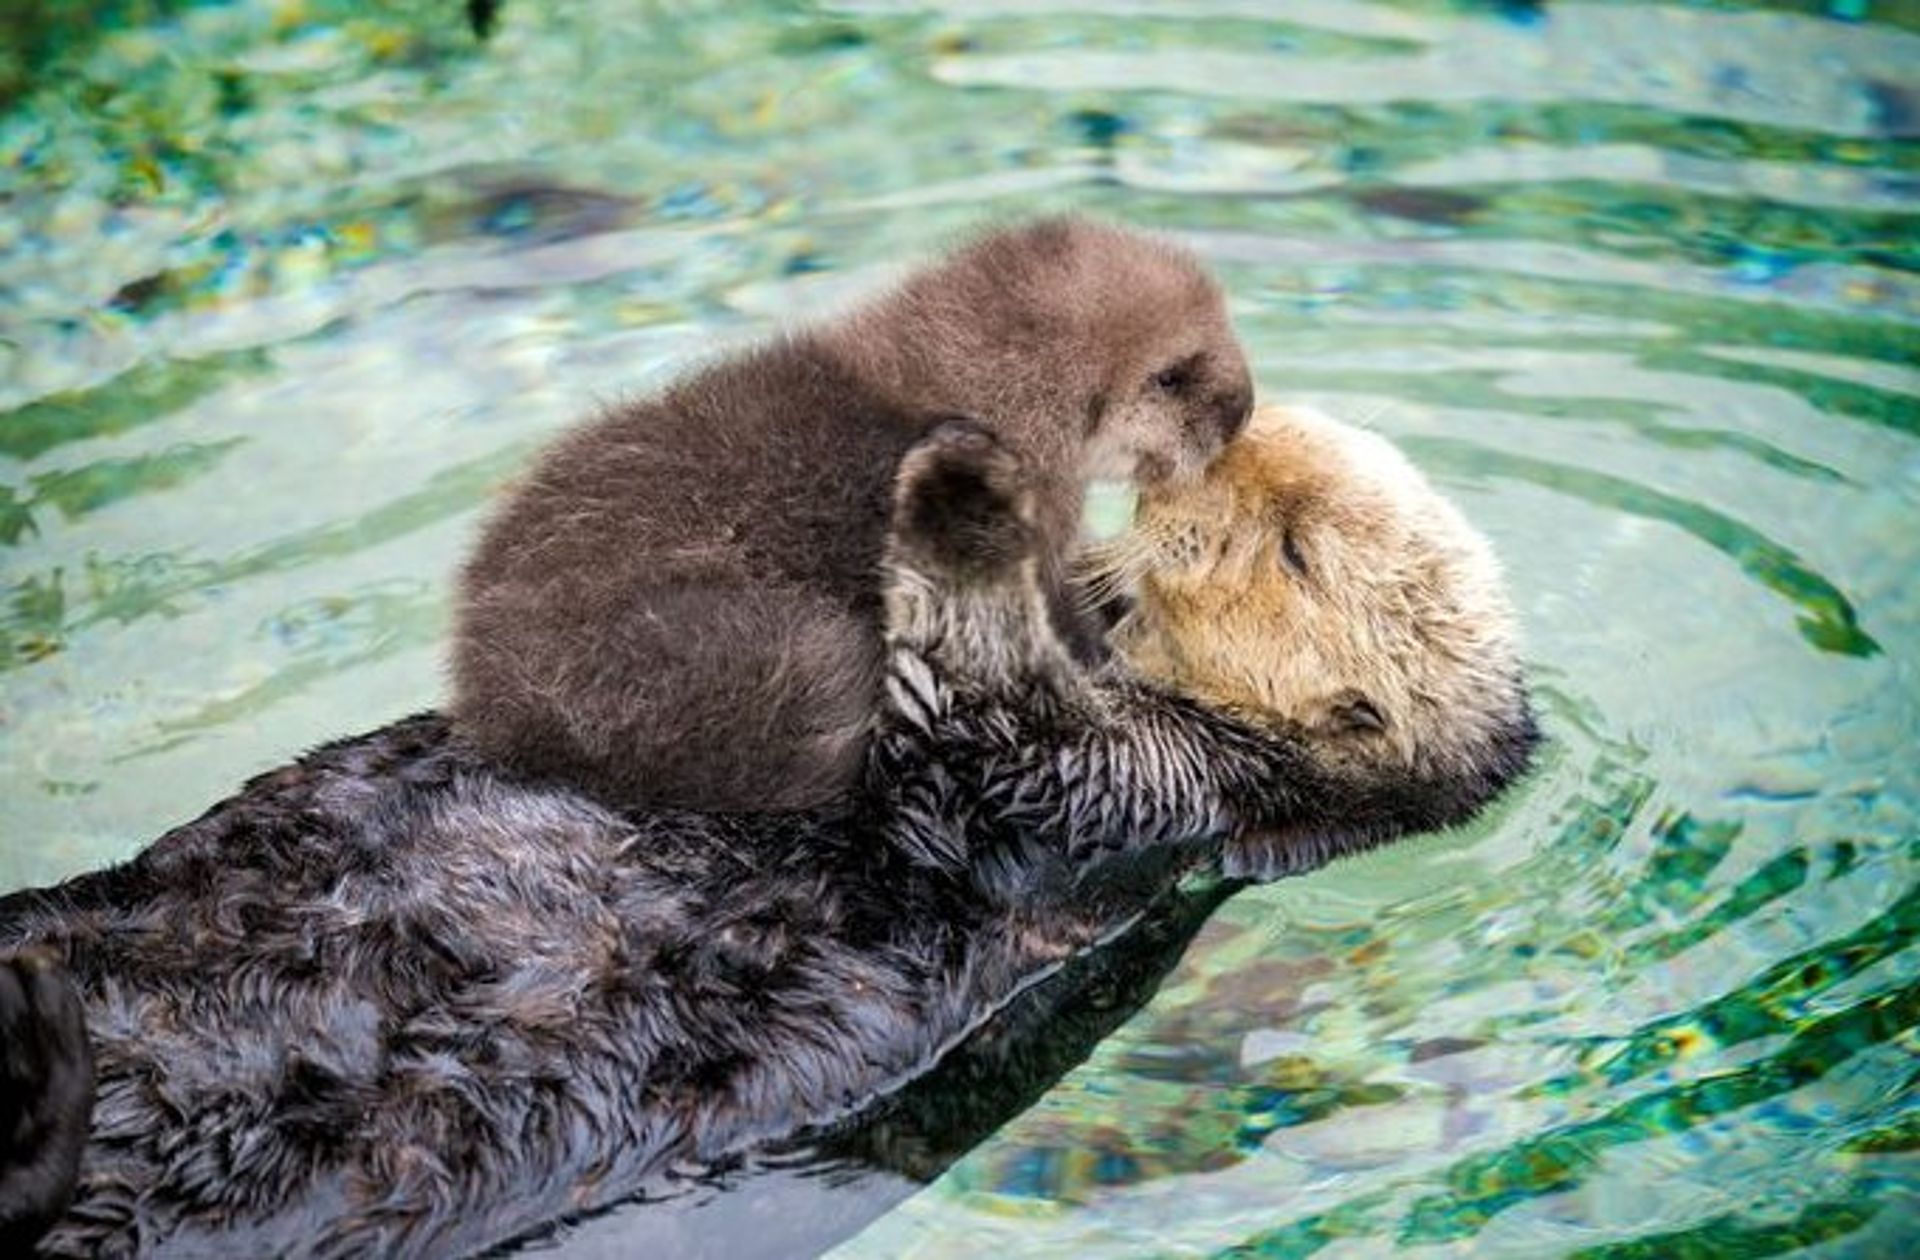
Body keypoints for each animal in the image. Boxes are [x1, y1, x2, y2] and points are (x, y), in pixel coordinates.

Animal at [450, 216, 1254, 815]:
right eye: (1171, 376)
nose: (1243, 406)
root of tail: (495, 704)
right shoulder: (1037, 516)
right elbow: (1065, 618)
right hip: (748, 648)